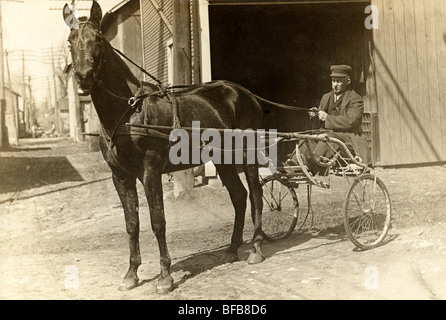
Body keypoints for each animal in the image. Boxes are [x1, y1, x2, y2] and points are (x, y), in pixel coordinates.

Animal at [64, 1, 274, 294]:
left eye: (98, 39)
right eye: (71, 41)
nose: (83, 77)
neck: (128, 111)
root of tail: (244, 94)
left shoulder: (150, 172)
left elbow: (157, 221)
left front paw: (165, 277)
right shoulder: (121, 176)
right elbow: (132, 224)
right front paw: (131, 274)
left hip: (247, 153)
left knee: (255, 194)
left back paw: (255, 249)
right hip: (223, 160)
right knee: (239, 196)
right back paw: (232, 249)